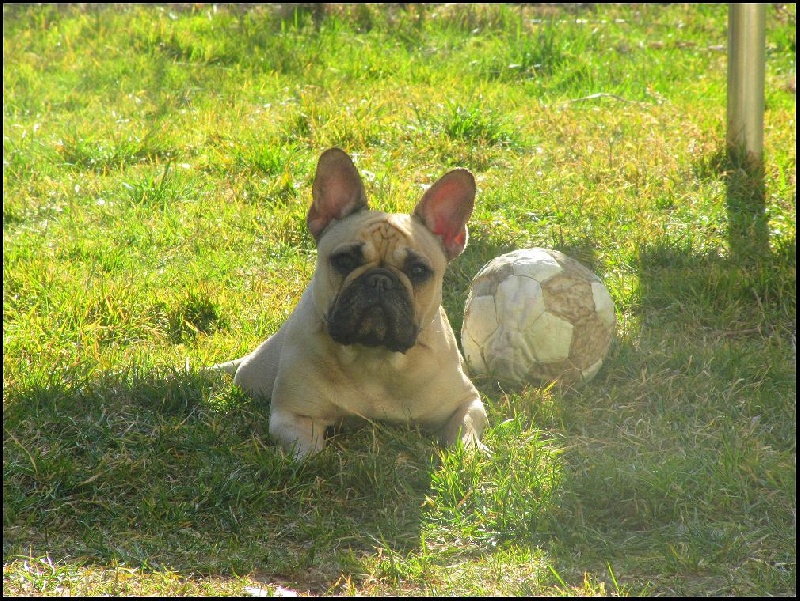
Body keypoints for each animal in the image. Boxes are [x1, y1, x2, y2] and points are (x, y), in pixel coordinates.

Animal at [214, 148, 488, 458]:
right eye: (344, 261)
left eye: (418, 271)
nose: (379, 281)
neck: (374, 358)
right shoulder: (293, 415)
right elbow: (307, 451)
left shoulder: (467, 401)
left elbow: (464, 432)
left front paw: (471, 455)